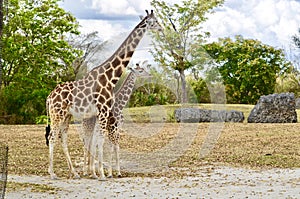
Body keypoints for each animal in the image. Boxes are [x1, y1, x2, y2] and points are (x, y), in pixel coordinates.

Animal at [45, 9, 161, 180]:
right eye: (155, 21)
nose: (161, 28)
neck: (110, 77)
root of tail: (49, 97)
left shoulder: (103, 114)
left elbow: (100, 141)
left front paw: (99, 172)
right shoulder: (104, 112)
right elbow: (101, 141)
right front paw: (103, 174)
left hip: (66, 115)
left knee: (63, 138)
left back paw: (75, 173)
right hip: (57, 114)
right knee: (52, 137)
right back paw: (52, 173)